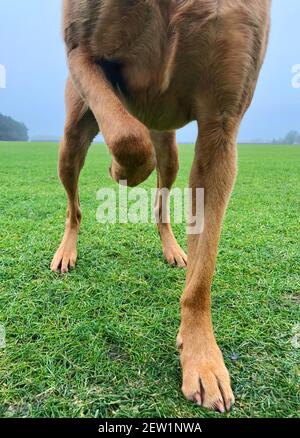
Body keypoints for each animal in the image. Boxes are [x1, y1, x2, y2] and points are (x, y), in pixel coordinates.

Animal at [51, 0, 272, 412]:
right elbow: (127, 138)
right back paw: (67, 250)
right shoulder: (81, 51)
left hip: (169, 148)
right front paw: (117, 168)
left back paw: (172, 249)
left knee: (160, 204)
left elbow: (202, 272)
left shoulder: (221, 122)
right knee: (76, 206)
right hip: (73, 134)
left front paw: (202, 359)